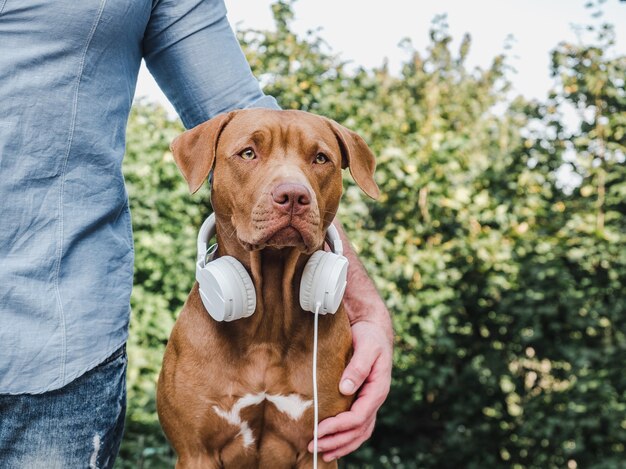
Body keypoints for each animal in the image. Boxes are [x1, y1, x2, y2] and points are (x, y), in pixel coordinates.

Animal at [157, 109, 376, 468]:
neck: (269, 315)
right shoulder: (196, 451)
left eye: (320, 158)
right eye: (248, 153)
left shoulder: (319, 451)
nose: (293, 197)